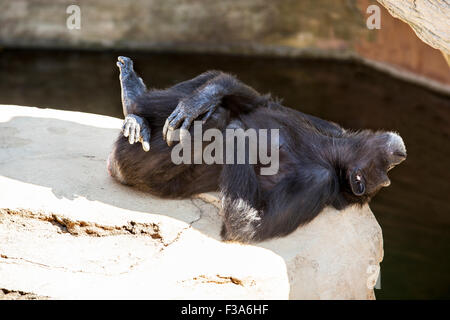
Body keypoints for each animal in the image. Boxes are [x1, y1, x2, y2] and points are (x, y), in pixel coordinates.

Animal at [107, 57, 406, 242]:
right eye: (389, 168)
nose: (399, 159)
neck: (329, 154)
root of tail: (113, 166)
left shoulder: (318, 184)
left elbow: (247, 227)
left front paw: (239, 138)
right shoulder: (329, 126)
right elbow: (263, 102)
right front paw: (204, 98)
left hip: (136, 164)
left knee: (215, 119)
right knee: (216, 93)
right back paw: (134, 106)